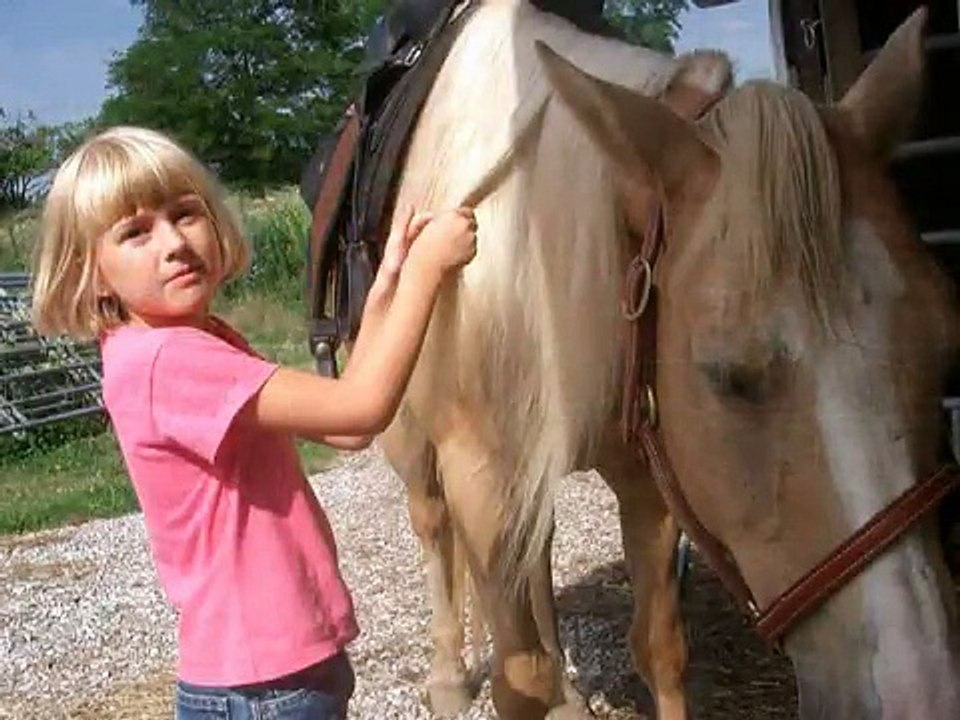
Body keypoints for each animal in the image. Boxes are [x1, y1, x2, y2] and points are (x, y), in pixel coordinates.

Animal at [371, 2, 960, 717]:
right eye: (725, 375)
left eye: (946, 345)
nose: (921, 693)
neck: (525, 265)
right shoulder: (480, 477)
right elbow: (520, 676)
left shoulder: (648, 467)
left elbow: (659, 648)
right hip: (414, 443)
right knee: (433, 527)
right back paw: (450, 678)